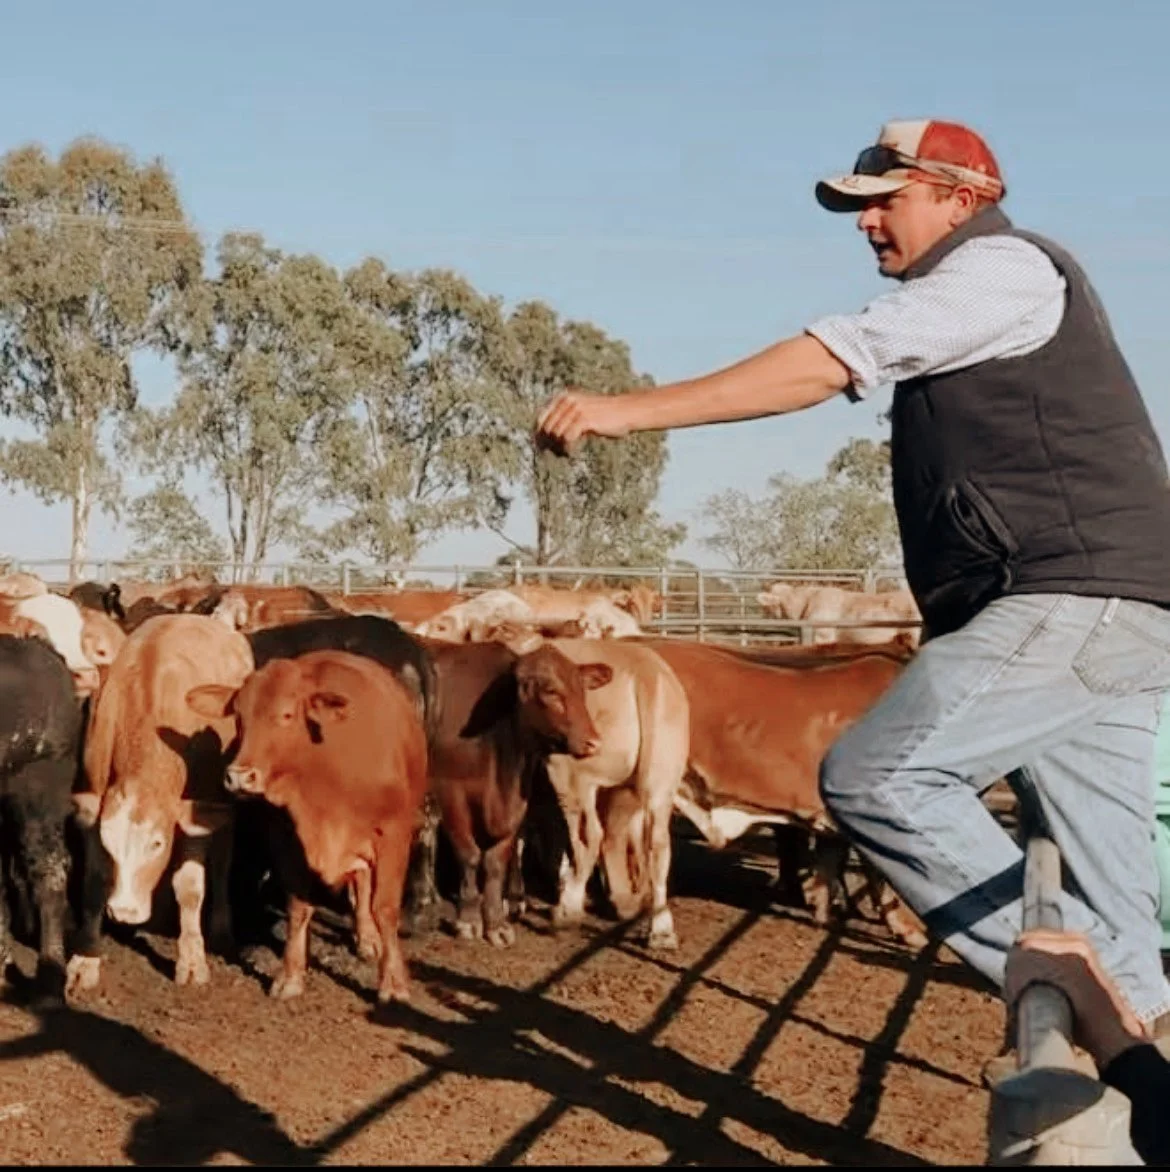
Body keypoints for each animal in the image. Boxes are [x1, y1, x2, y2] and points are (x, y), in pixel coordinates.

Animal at [69, 614, 253, 991]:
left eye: (156, 843)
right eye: (110, 842)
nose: (124, 911)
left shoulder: (197, 813)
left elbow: (190, 887)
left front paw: (192, 959)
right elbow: (95, 881)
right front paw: (85, 958)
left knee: (222, 861)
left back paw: (220, 928)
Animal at [187, 651, 429, 1004]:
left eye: (286, 714)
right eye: (239, 717)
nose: (239, 777)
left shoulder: (393, 836)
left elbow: (385, 907)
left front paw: (393, 982)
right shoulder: (287, 839)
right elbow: (298, 908)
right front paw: (290, 976)